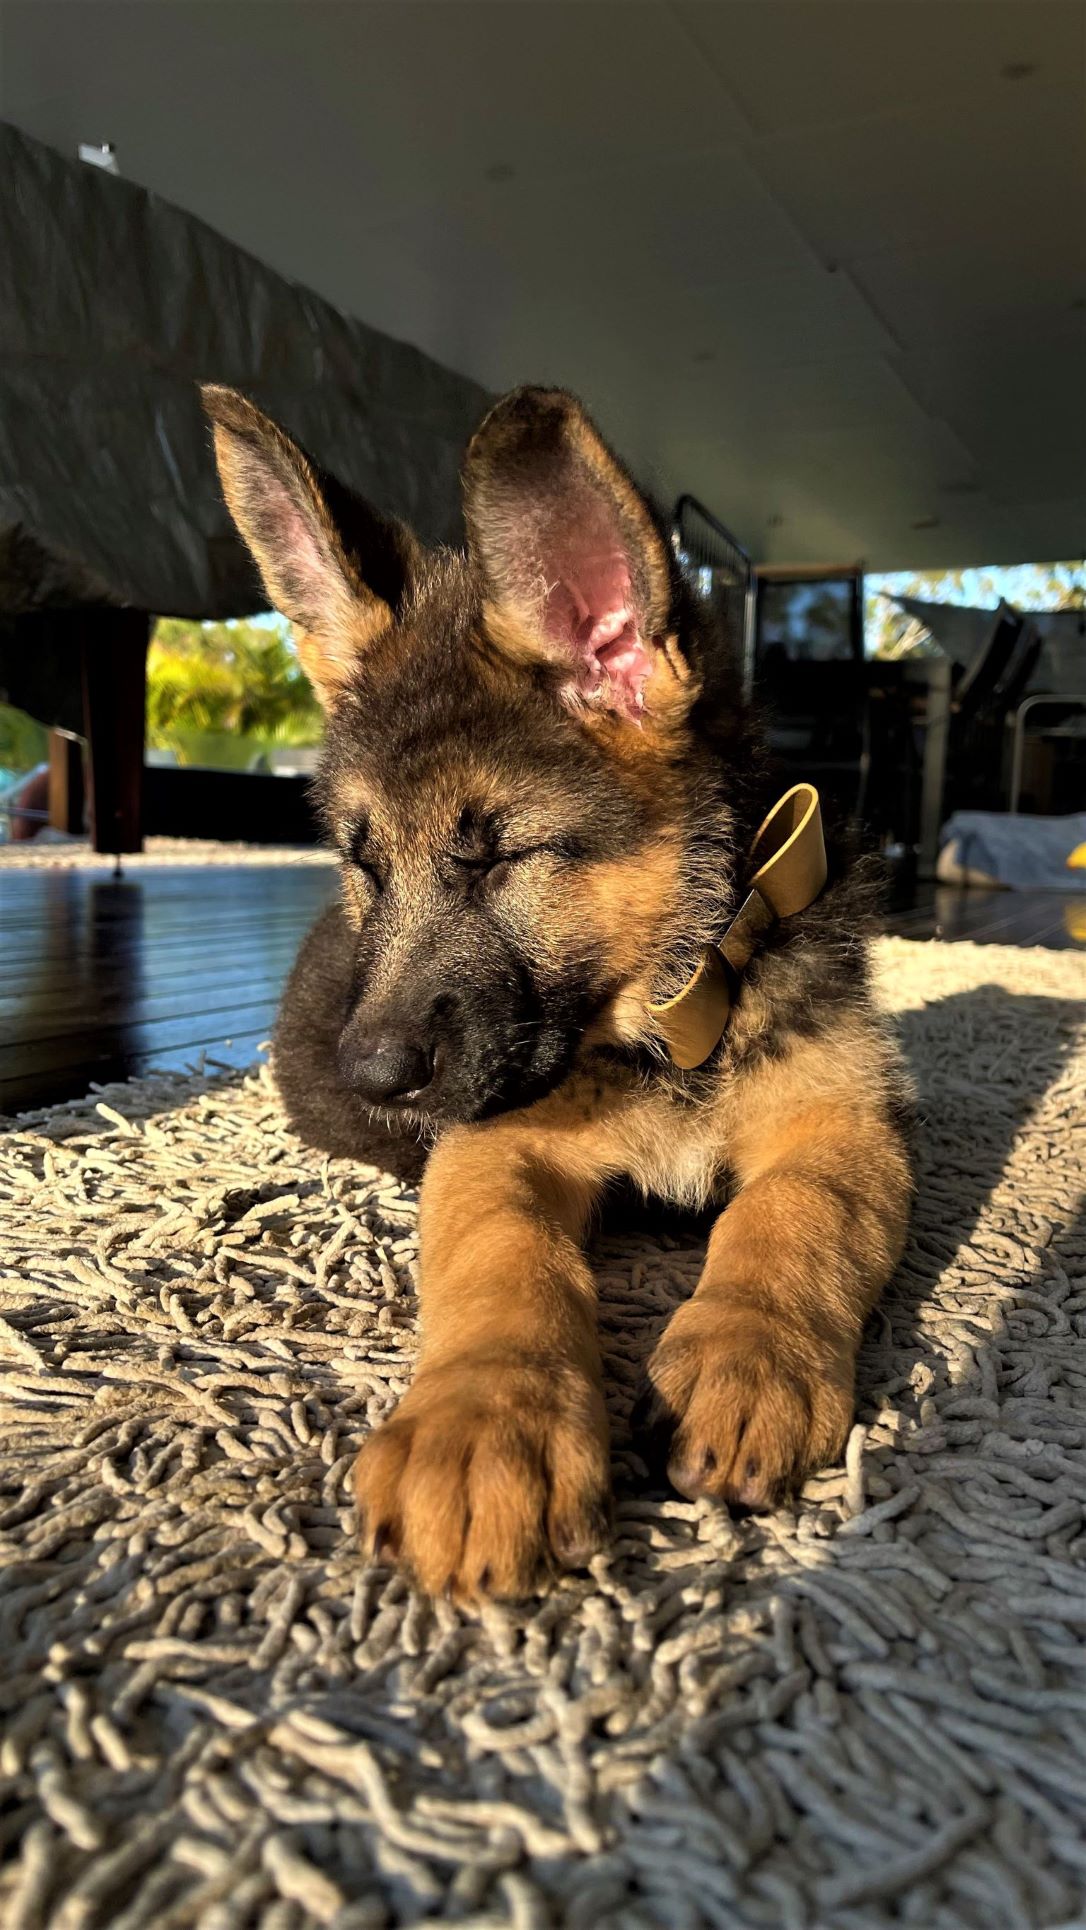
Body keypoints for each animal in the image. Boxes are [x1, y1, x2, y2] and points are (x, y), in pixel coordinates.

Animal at [206, 380, 918, 1598]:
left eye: (498, 857)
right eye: (363, 863)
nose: (370, 1074)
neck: (669, 1017)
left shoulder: (844, 1123)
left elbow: (796, 1214)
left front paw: (747, 1353)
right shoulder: (492, 1147)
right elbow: (505, 1264)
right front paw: (485, 1425)